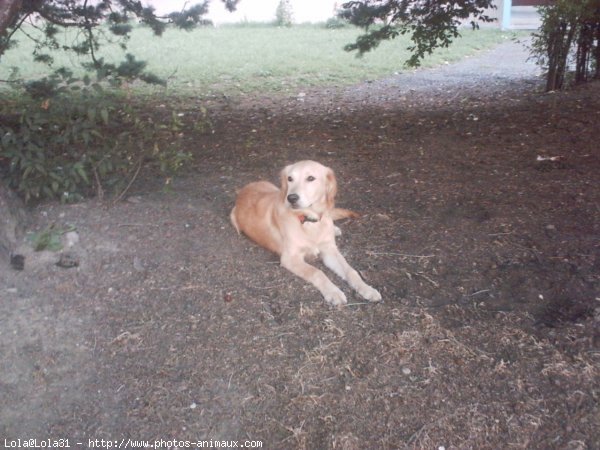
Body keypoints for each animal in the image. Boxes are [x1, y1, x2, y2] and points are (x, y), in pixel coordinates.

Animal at [230, 159, 380, 306]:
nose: (291, 198)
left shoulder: (330, 250)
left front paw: (367, 289)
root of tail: (243, 190)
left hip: (275, 189)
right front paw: (333, 292)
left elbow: (351, 271)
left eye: (311, 178)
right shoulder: (290, 258)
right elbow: (317, 272)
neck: (309, 221)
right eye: (290, 178)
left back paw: (335, 229)